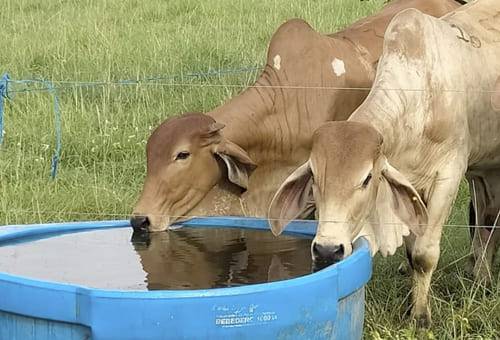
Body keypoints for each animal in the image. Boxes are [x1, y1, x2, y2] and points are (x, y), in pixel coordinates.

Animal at [268, 0, 500, 326]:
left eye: (366, 178)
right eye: (314, 176)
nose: (327, 250)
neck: (419, 98)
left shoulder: (449, 174)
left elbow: (424, 255)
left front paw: (420, 316)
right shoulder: (409, 187)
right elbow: (412, 252)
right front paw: (412, 305)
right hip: (485, 169)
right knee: (486, 218)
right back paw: (479, 276)